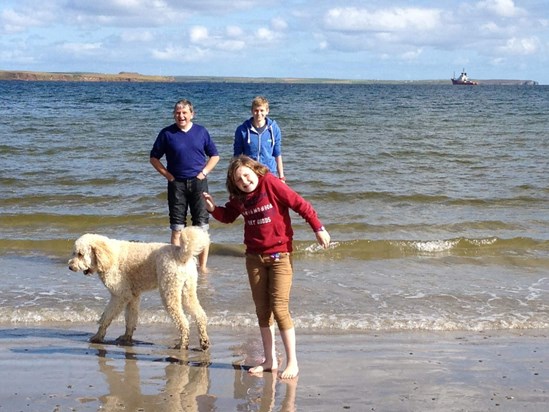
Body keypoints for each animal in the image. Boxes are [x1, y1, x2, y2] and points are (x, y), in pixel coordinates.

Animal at [67, 227, 212, 350]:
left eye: (80, 254)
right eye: (74, 253)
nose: (70, 267)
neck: (108, 256)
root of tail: (182, 254)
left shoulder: (120, 295)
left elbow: (106, 317)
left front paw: (97, 337)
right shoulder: (133, 296)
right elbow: (130, 318)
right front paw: (126, 338)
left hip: (169, 292)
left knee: (183, 321)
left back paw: (182, 344)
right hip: (187, 290)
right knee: (200, 315)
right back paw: (204, 342)